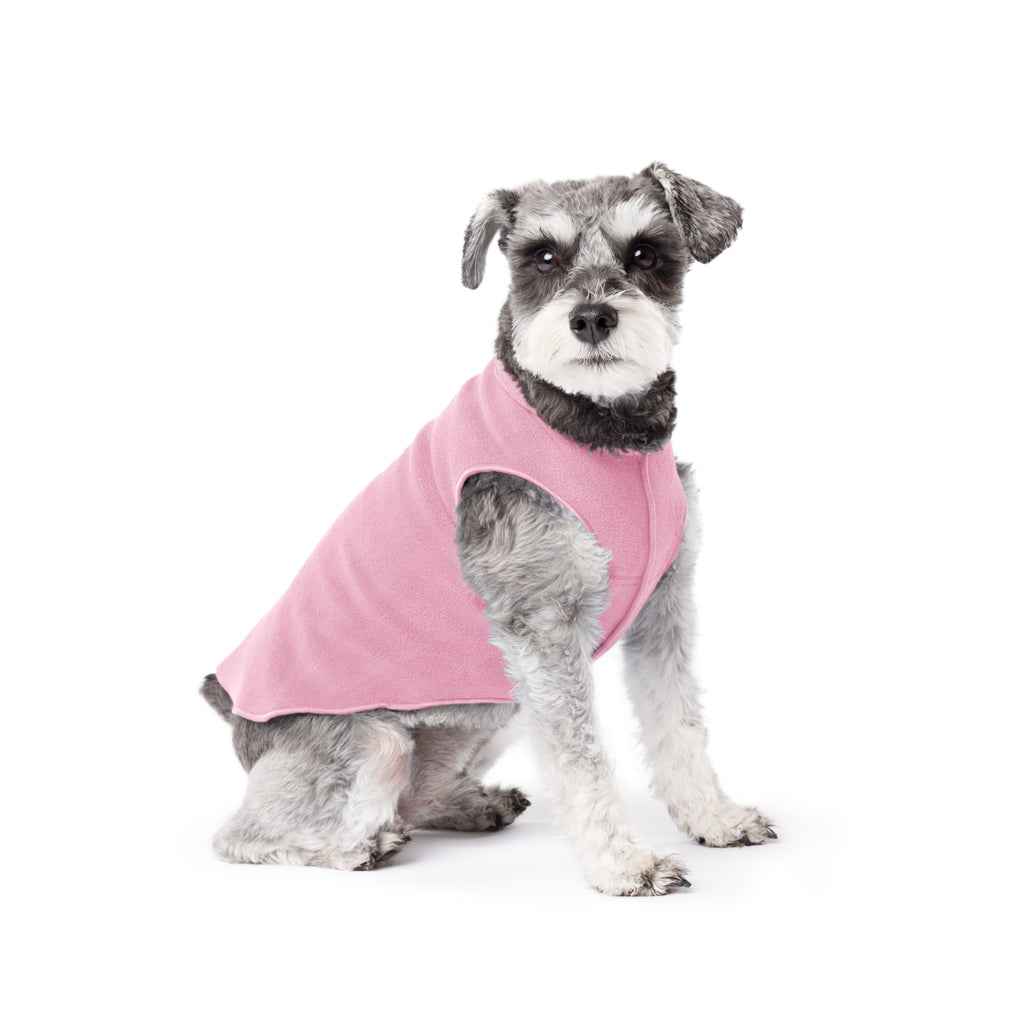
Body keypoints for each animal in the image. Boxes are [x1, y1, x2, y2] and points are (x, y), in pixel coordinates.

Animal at [201, 163, 775, 896]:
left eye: (645, 253)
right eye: (543, 257)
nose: (592, 317)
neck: (603, 431)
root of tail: (231, 708)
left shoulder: (663, 607)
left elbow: (680, 721)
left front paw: (715, 817)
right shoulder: (545, 625)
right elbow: (583, 757)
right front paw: (624, 862)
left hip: (496, 699)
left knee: (417, 796)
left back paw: (470, 806)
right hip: (379, 739)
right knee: (243, 835)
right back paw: (358, 849)